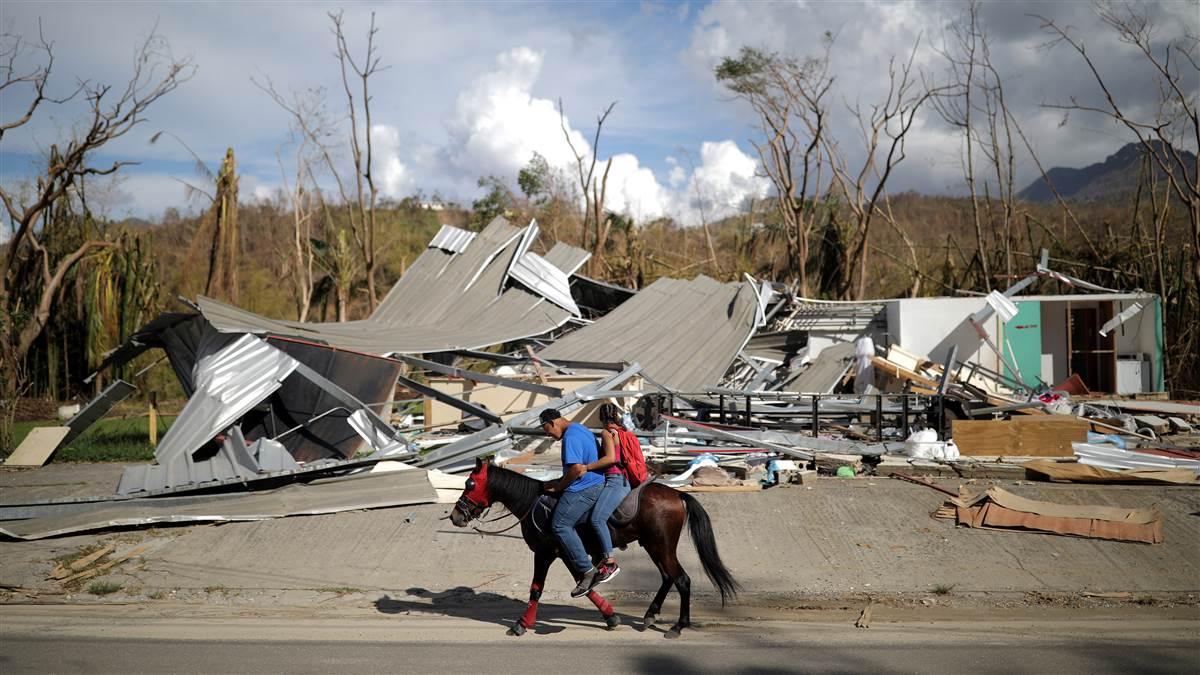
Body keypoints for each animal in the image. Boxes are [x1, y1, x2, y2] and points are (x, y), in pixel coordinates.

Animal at [448, 456, 734, 634]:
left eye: (469, 483)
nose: (455, 515)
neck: (533, 503)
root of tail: (678, 494)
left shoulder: (545, 553)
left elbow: (536, 589)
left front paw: (521, 624)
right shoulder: (565, 552)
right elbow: (585, 583)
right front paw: (610, 616)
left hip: (661, 546)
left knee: (682, 580)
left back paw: (678, 626)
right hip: (653, 546)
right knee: (667, 578)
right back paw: (650, 614)